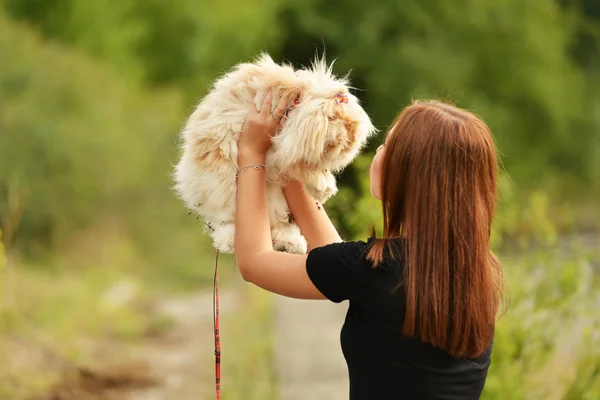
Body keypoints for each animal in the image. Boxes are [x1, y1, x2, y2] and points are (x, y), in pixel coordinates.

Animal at [171, 54, 376, 253]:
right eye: (333, 118)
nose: (348, 138)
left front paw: (324, 187)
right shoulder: (283, 148)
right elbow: (301, 166)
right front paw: (323, 189)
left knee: (278, 224)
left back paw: (293, 244)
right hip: (223, 186)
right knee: (226, 218)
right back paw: (231, 242)